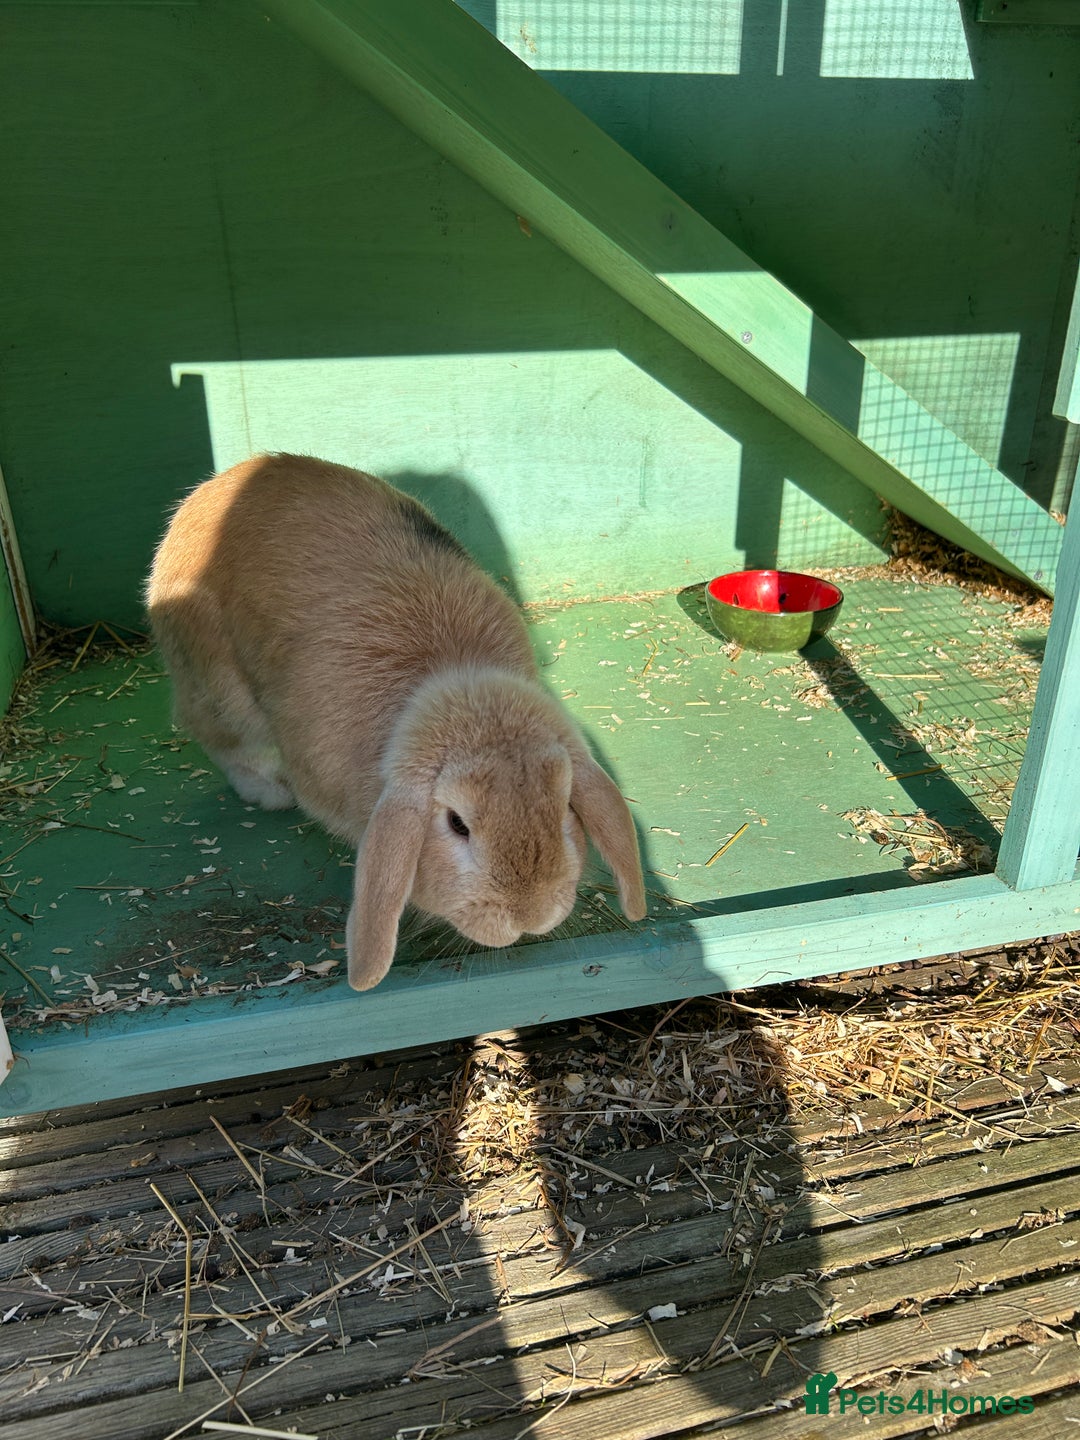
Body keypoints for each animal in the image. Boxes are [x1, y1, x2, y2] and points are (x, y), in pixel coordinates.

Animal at [146, 454, 646, 990]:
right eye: (456, 823)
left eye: (563, 805)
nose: (528, 915)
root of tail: (213, 488)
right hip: (218, 687)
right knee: (223, 739)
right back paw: (271, 792)